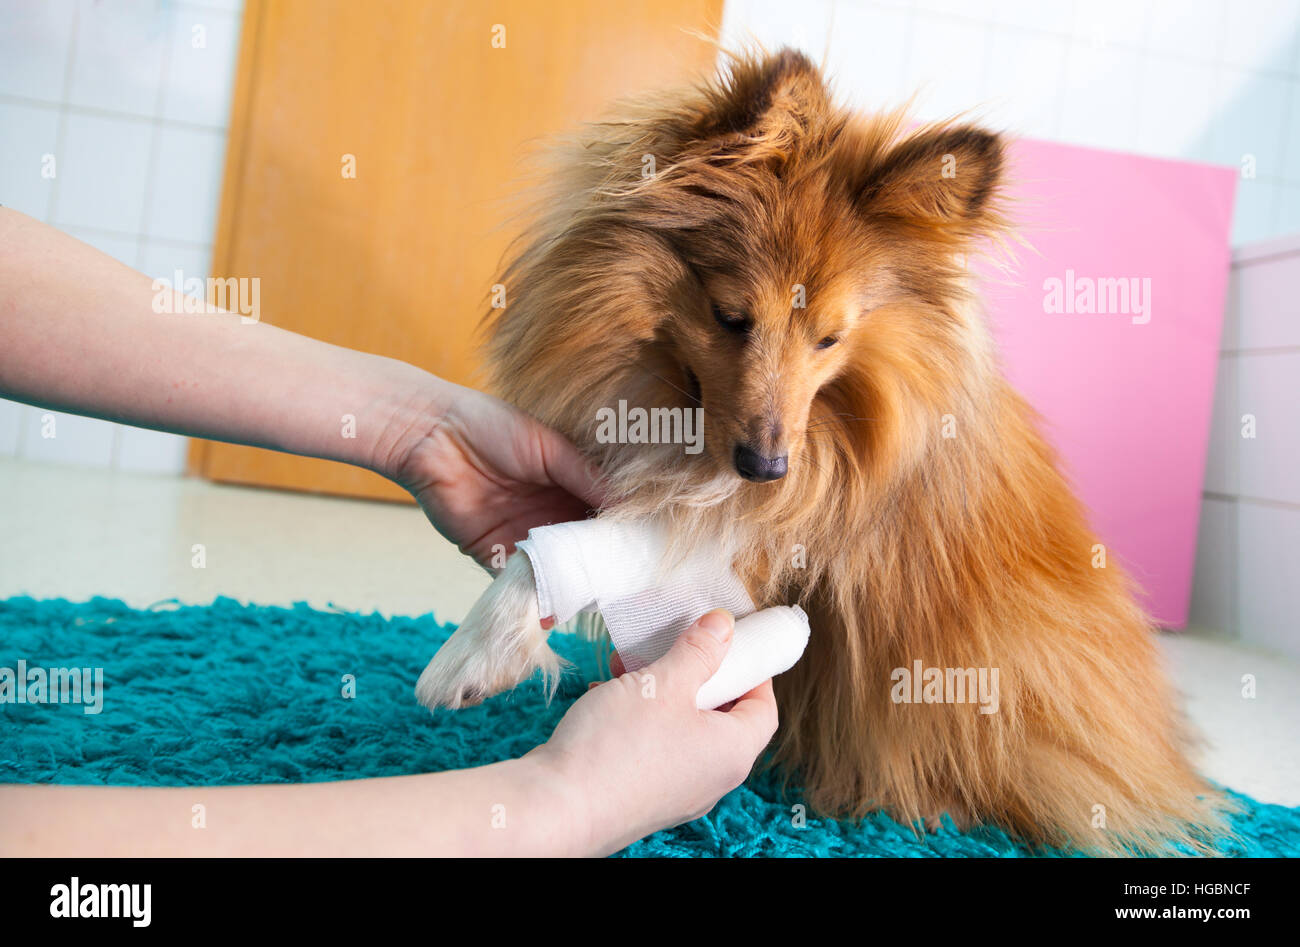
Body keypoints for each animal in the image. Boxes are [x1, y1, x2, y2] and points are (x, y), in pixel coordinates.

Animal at [418, 48, 1227, 853]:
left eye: (831, 338)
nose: (766, 468)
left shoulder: (765, 528)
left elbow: (573, 550)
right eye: (731, 316)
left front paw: (472, 654)